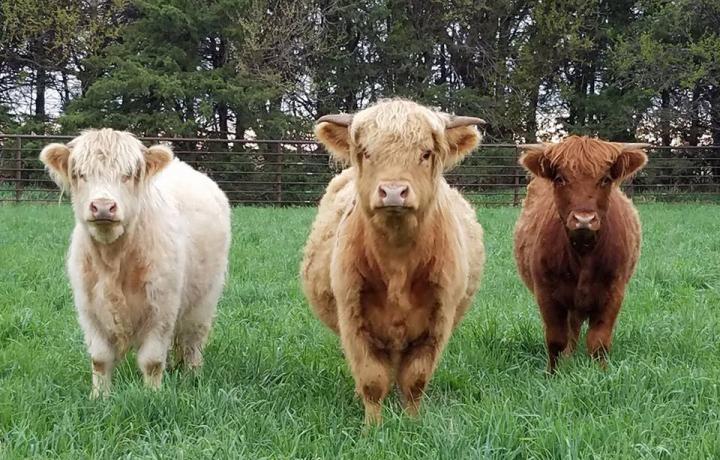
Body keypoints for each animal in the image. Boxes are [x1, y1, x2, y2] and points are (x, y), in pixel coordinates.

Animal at [40, 127, 231, 398]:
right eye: (79, 174)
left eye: (128, 175)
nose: (103, 206)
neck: (114, 261)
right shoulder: (88, 309)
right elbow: (100, 359)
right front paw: (99, 397)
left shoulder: (162, 308)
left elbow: (151, 361)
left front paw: (152, 395)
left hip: (204, 299)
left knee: (192, 340)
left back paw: (192, 375)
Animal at [300, 99, 486, 426]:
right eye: (366, 152)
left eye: (426, 153)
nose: (394, 192)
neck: (397, 264)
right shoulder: (353, 316)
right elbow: (372, 379)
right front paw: (372, 427)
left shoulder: (438, 320)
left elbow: (415, 379)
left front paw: (412, 422)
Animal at [516, 135, 648, 372]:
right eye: (560, 178)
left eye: (605, 179)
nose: (584, 219)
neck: (584, 254)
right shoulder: (546, 292)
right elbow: (556, 339)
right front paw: (553, 373)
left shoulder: (614, 291)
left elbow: (599, 341)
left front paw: (602, 373)